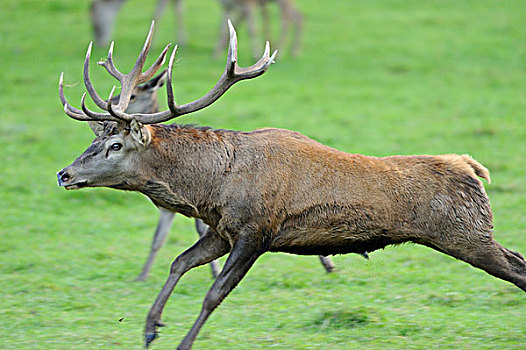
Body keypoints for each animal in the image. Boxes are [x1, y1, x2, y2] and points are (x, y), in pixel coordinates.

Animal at [58, 21, 526, 350]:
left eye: (115, 144)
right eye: (94, 139)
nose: (64, 173)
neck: (212, 187)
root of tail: (473, 168)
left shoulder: (258, 231)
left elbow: (213, 294)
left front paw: (182, 341)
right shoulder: (222, 230)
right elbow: (179, 262)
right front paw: (150, 327)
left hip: (466, 233)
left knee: (518, 267)